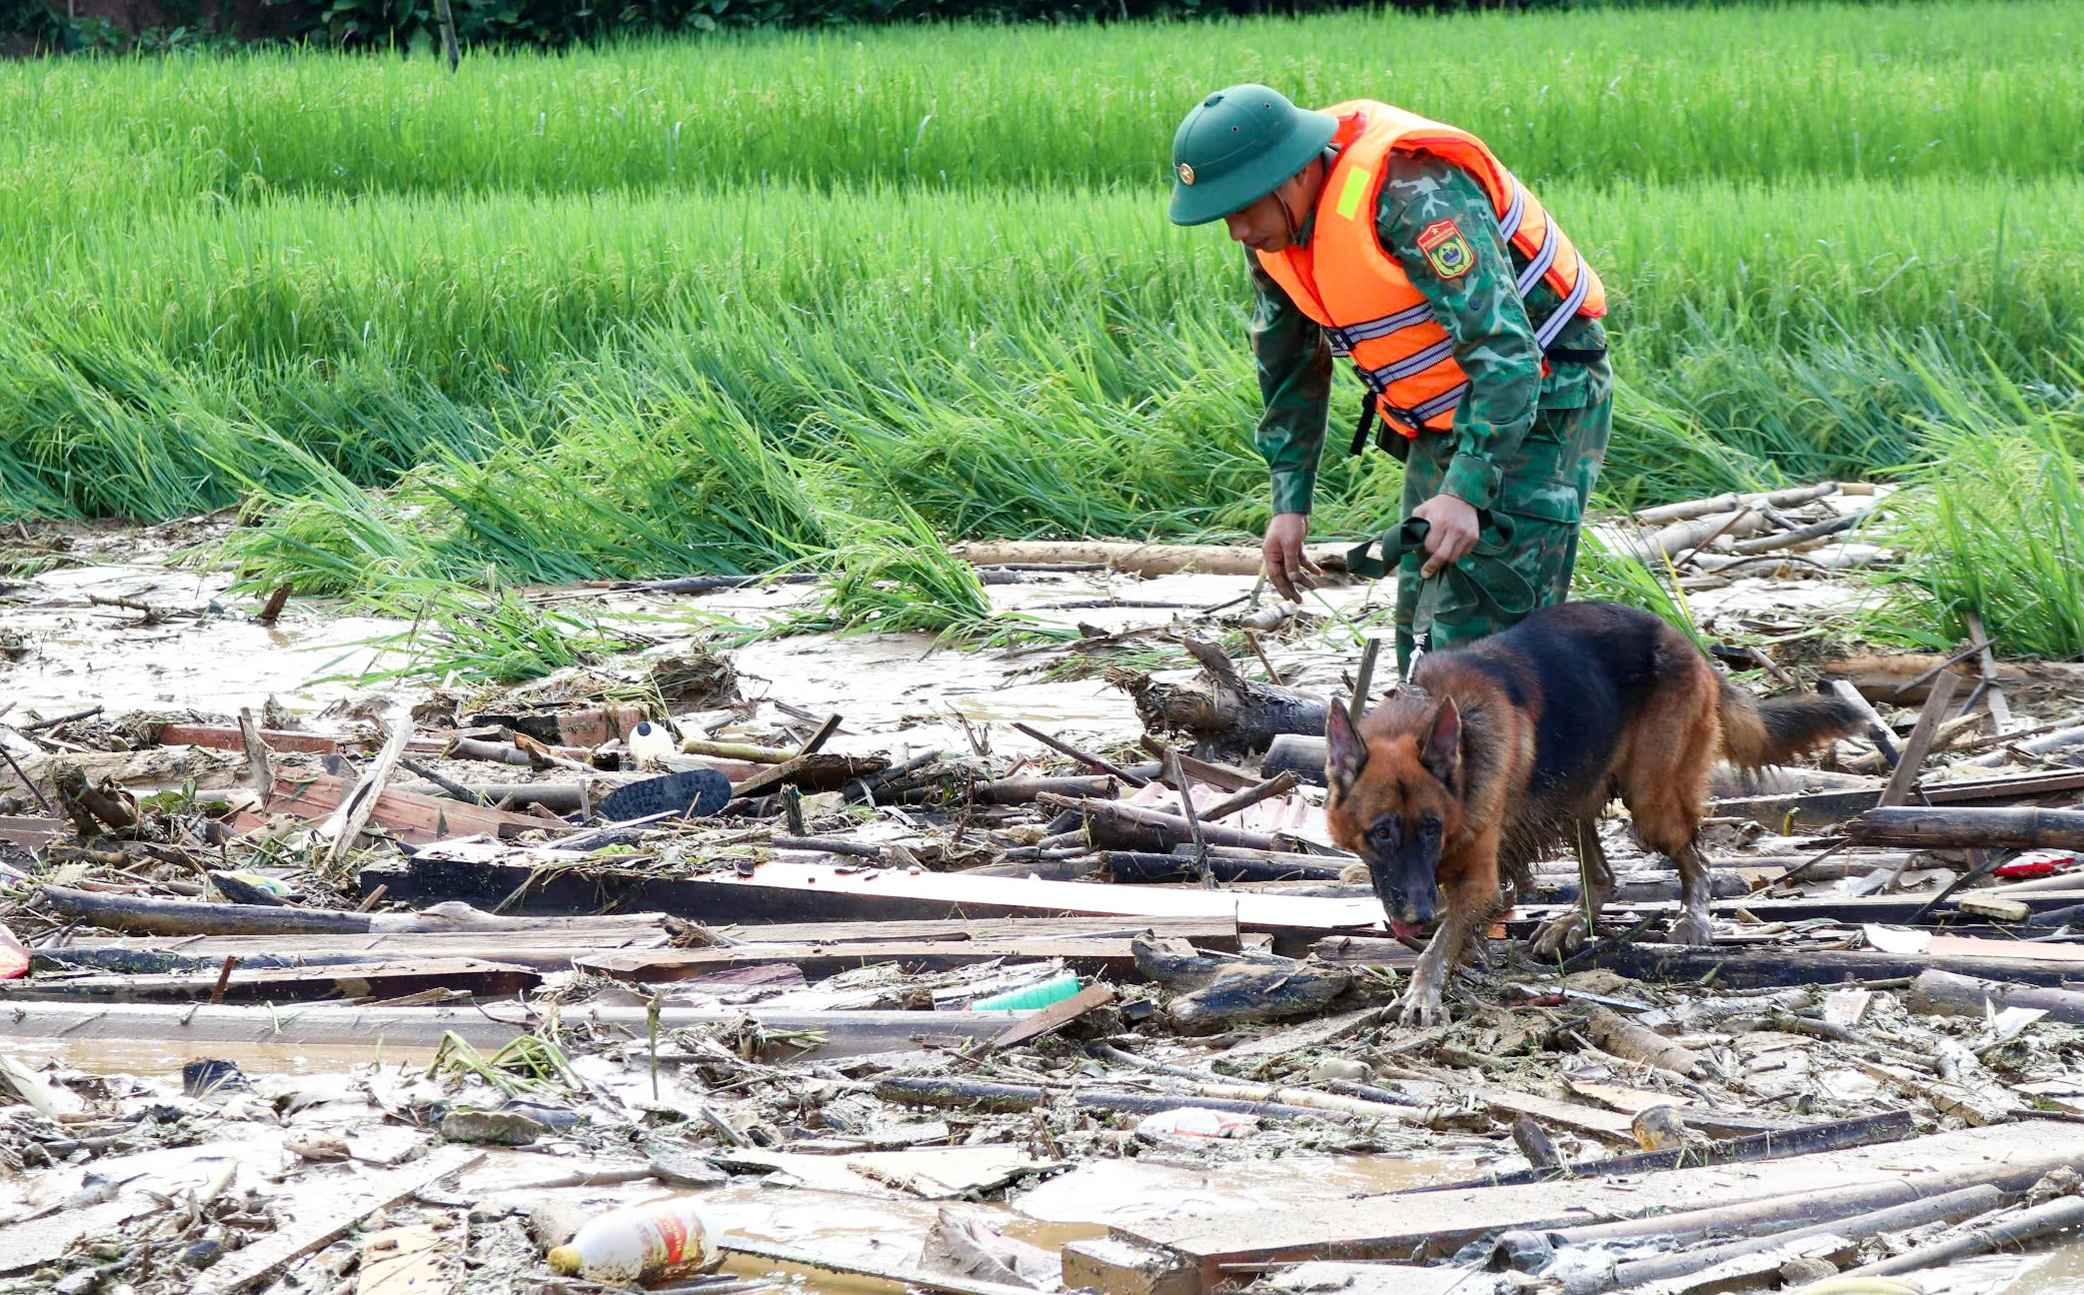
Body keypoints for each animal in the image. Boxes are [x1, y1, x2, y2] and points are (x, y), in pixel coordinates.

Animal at [1325, 600, 1867, 1025]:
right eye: (1381, 833)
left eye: (1432, 828)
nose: (1415, 917)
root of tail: (1680, 638)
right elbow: (1449, 926)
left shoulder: (1479, 880)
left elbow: (1440, 945)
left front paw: (1422, 990)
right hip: (1576, 798)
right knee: (1604, 875)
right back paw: (1574, 922)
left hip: (1649, 804)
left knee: (1696, 857)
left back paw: (1692, 920)